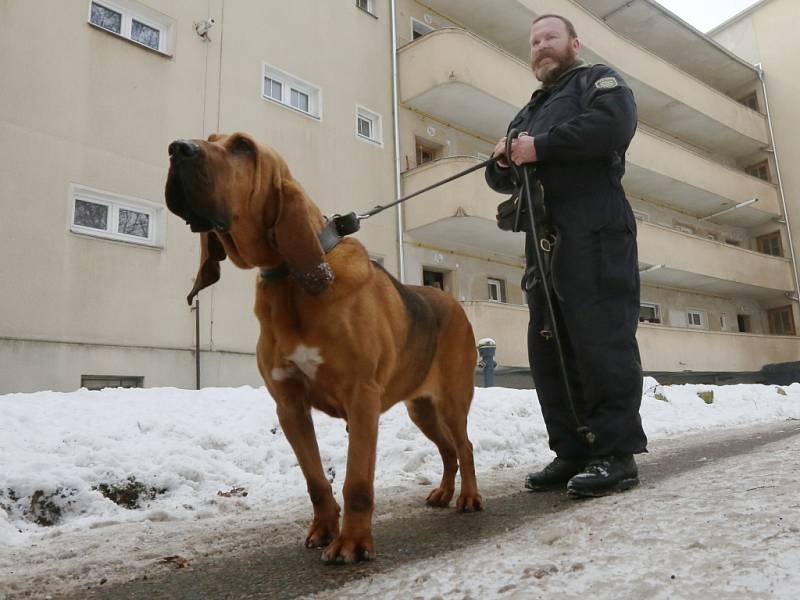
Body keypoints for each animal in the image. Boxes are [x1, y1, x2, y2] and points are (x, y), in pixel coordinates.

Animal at [164, 131, 482, 564]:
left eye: (243, 146)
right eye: (211, 139)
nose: (177, 148)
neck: (291, 279)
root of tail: (453, 302)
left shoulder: (362, 399)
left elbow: (357, 483)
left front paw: (352, 543)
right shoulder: (289, 406)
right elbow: (316, 480)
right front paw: (323, 529)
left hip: (451, 401)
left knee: (464, 446)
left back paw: (469, 497)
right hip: (421, 410)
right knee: (448, 450)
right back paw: (445, 493)